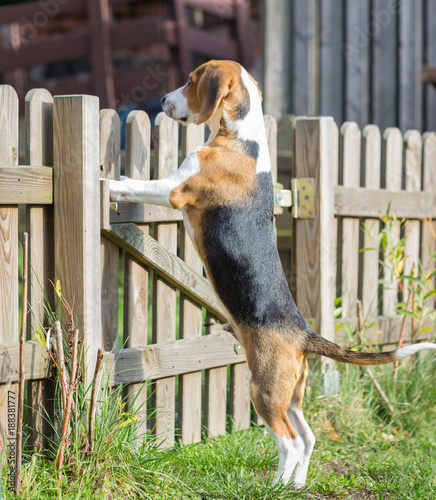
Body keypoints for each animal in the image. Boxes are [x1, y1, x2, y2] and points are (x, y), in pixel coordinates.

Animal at [110, 60, 436, 486]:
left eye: (191, 81)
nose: (163, 100)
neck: (242, 138)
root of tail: (303, 333)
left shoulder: (173, 190)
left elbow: (139, 186)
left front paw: (108, 183)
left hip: (263, 391)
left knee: (291, 442)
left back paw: (278, 486)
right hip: (290, 394)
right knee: (308, 437)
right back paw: (295, 484)